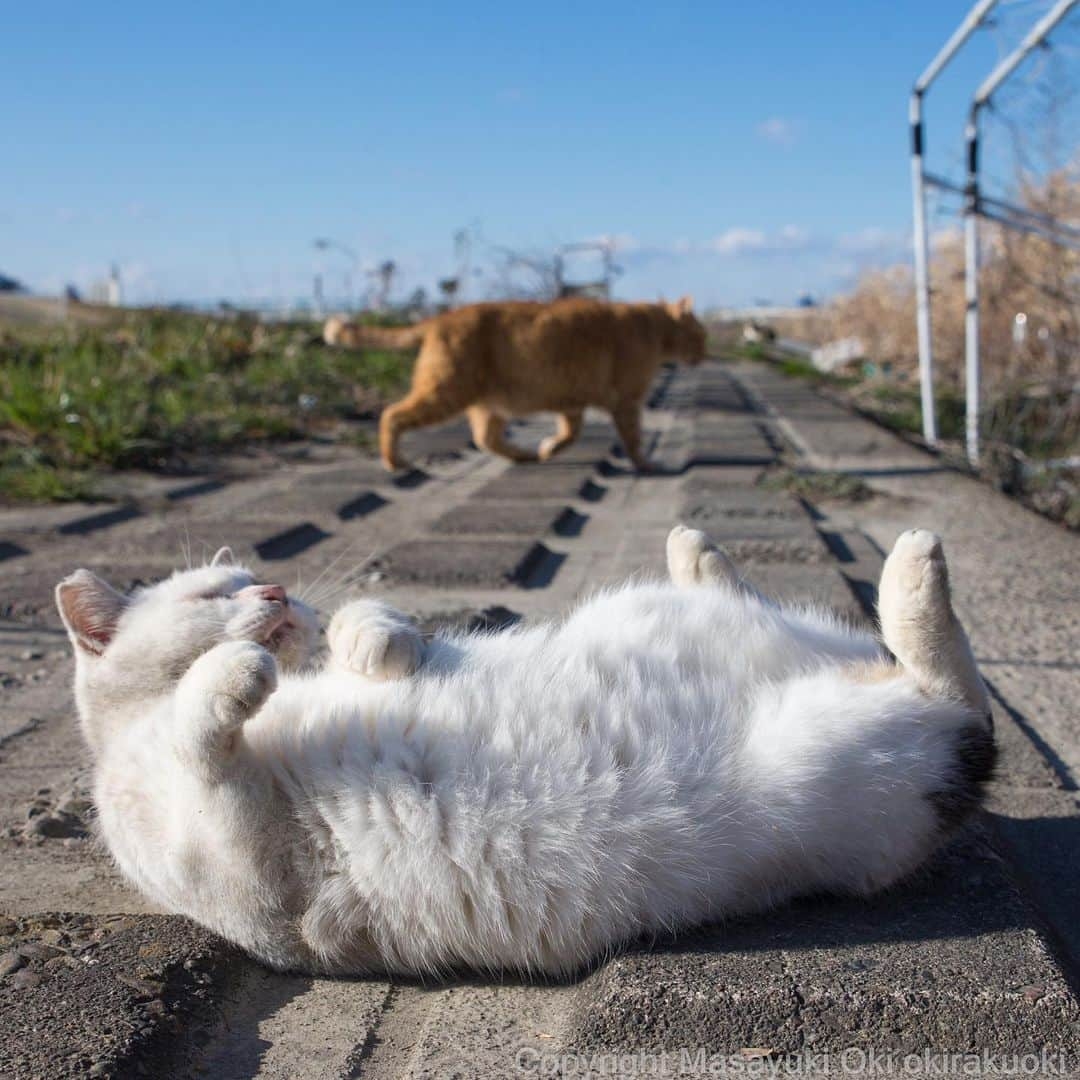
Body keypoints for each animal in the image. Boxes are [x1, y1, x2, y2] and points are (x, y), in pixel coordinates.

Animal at [54, 524, 989, 980]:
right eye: (215, 592)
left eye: (259, 580)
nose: (278, 592)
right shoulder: (245, 859)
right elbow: (199, 720)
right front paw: (237, 667)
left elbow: (373, 626)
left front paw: (374, 642)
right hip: (831, 746)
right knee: (958, 700)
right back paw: (909, 569)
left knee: (954, 692)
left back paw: (713, 552)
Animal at [319, 298, 708, 470]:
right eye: (701, 335)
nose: (706, 354)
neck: (652, 323)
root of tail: (440, 317)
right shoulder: (626, 402)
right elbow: (633, 439)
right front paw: (646, 464)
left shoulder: (572, 404)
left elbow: (570, 434)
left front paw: (549, 448)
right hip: (446, 392)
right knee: (391, 414)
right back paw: (394, 461)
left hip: (487, 404)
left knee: (486, 438)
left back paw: (524, 455)